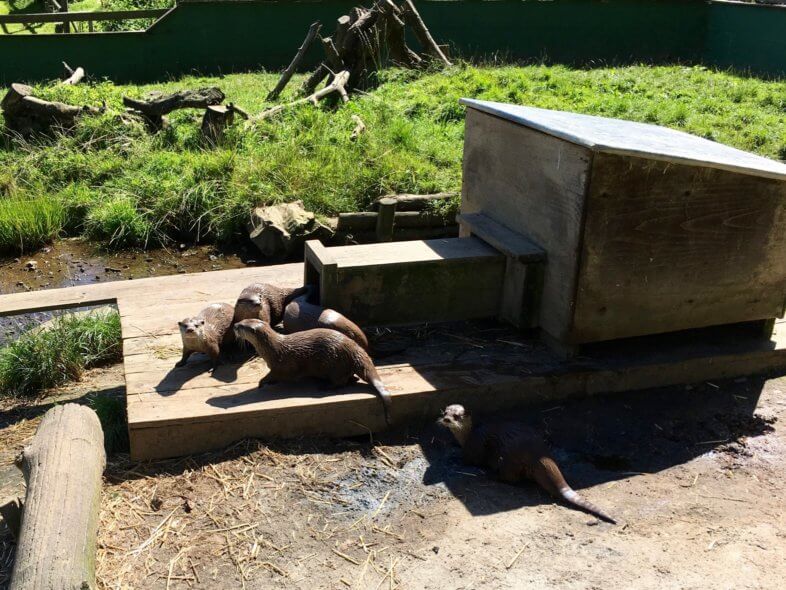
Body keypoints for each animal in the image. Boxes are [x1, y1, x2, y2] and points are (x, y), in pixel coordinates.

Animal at [233, 319, 392, 424]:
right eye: (242, 321)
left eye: (242, 326)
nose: (234, 325)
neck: (271, 349)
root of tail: (354, 349)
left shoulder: (280, 366)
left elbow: (275, 375)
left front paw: (262, 383)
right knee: (350, 378)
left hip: (334, 363)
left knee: (340, 381)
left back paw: (325, 386)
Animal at [438, 404, 616, 524]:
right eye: (445, 412)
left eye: (457, 416)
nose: (446, 419)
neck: (467, 435)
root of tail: (538, 455)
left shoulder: (474, 446)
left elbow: (470, 460)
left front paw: (454, 457)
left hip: (508, 458)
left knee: (511, 479)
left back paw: (493, 475)